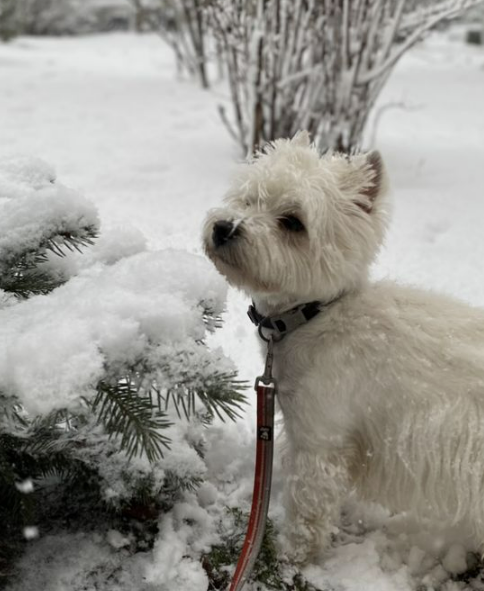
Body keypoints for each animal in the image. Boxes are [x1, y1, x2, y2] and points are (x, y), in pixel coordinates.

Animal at [202, 132, 484, 568]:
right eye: (248, 200)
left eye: (293, 222)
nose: (223, 227)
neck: (313, 315)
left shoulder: (321, 438)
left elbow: (308, 506)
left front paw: (292, 555)